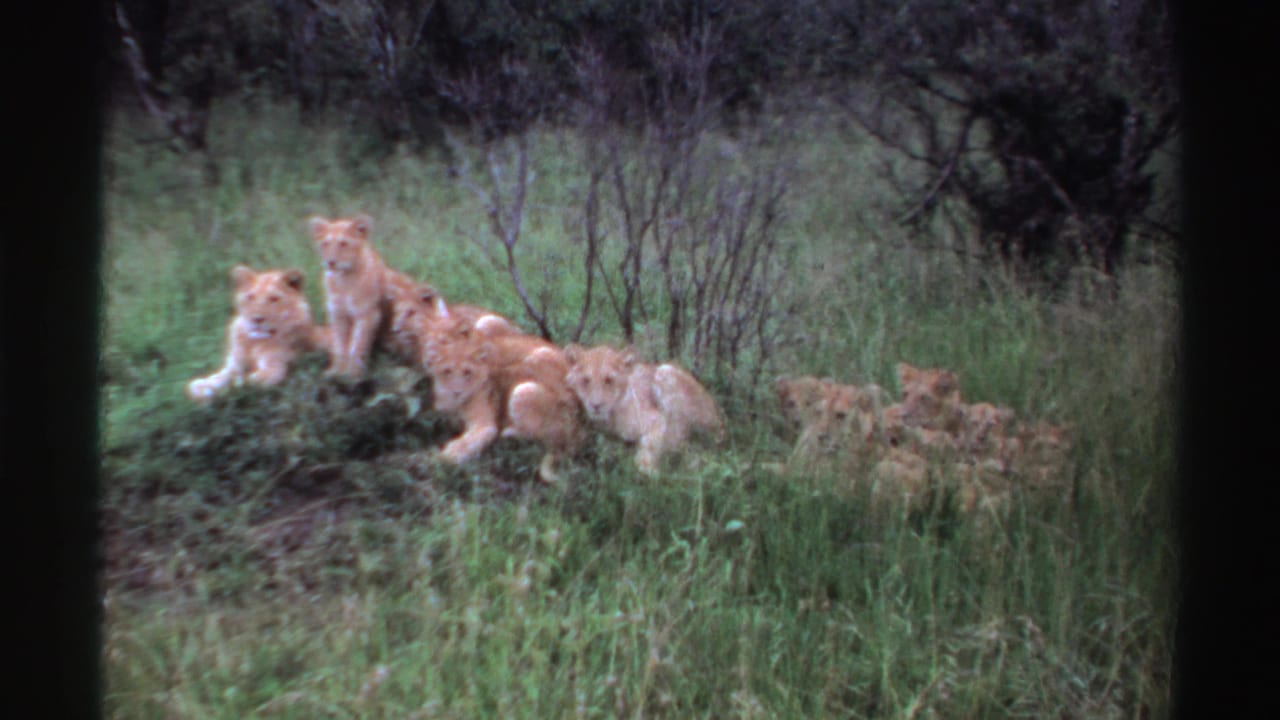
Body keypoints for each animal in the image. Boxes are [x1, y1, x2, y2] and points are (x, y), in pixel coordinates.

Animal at [186, 265, 329, 402]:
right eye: (250, 297)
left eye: (274, 299)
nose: (256, 319)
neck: (253, 342)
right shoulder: (234, 365)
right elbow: (221, 378)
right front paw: (201, 386)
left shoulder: (273, 371)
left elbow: (240, 382)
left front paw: (213, 393)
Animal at [425, 323, 583, 483]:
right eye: (447, 371)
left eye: (467, 372)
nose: (457, 391)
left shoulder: (485, 424)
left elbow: (469, 441)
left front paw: (444, 457)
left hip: (525, 387)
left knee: (543, 439)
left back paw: (509, 432)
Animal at [565, 345, 725, 476]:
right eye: (585, 381)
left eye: (609, 380)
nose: (596, 405)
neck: (609, 418)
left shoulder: (656, 420)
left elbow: (649, 445)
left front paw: (648, 470)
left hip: (665, 373)